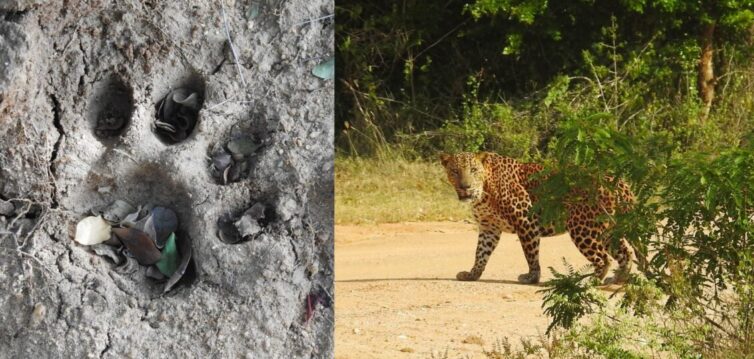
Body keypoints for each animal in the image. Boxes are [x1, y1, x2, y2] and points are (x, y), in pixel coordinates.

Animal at [438, 151, 632, 284]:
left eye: (473, 170)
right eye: (454, 171)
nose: (465, 186)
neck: (483, 192)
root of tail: (621, 182)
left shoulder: (526, 220)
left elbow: (530, 253)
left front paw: (532, 277)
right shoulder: (489, 227)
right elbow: (480, 253)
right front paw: (473, 274)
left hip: (582, 228)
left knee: (604, 258)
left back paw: (591, 281)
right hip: (607, 228)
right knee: (626, 253)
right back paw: (618, 279)